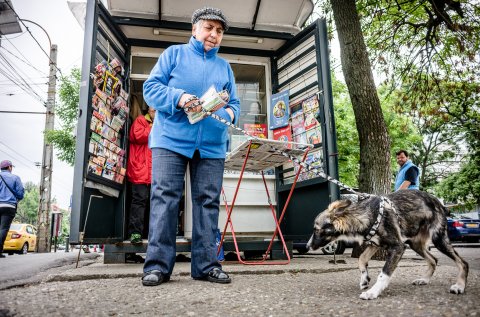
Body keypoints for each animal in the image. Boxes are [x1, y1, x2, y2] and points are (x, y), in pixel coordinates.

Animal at [308, 189, 468, 300]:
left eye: (316, 229)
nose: (307, 246)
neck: (366, 215)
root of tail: (440, 203)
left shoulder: (398, 247)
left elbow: (383, 273)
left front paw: (372, 292)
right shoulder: (375, 244)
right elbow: (361, 259)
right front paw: (364, 279)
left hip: (438, 239)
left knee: (463, 262)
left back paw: (460, 286)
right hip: (415, 243)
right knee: (434, 259)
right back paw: (424, 280)